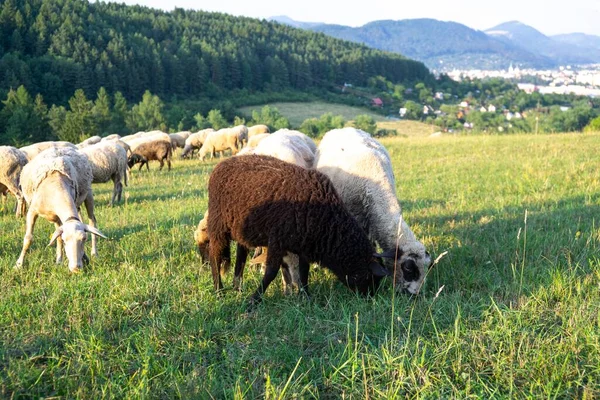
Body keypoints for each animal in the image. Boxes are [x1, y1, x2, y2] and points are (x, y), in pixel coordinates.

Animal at [206, 154, 394, 306]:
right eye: (372, 278)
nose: (369, 297)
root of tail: (222, 164)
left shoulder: (304, 245)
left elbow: (304, 271)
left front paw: (305, 296)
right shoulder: (277, 240)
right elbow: (271, 272)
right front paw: (254, 300)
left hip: (241, 229)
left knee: (241, 256)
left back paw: (237, 288)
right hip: (218, 224)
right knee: (214, 255)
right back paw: (219, 290)